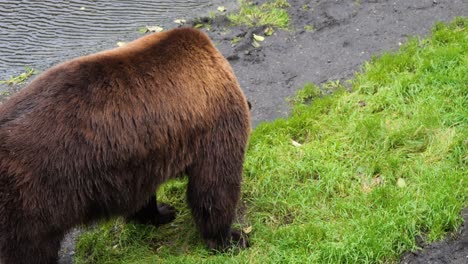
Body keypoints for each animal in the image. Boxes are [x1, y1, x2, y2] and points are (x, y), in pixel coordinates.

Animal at [0, 27, 250, 264]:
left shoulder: (143, 157)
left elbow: (145, 195)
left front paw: (161, 212)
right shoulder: (215, 124)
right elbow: (214, 185)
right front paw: (232, 238)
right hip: (33, 197)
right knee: (30, 250)